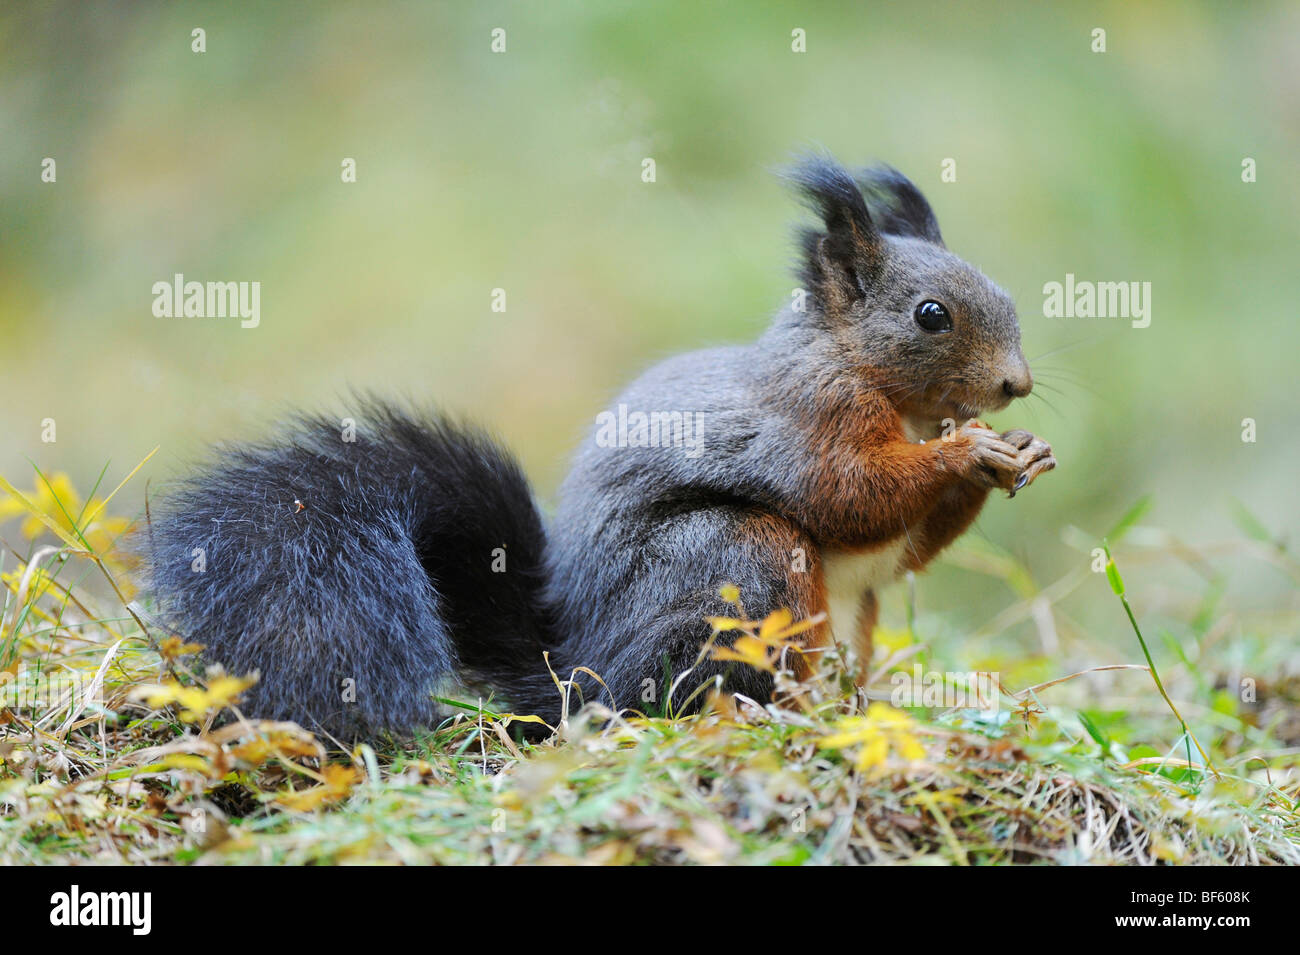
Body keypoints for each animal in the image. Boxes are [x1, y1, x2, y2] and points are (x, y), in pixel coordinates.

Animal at [137, 155, 1055, 738]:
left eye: (1006, 295)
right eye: (930, 315)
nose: (1017, 383)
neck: (889, 394)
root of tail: (579, 670)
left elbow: (907, 549)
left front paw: (1024, 449)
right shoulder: (808, 417)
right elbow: (849, 492)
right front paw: (967, 454)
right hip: (738, 556)